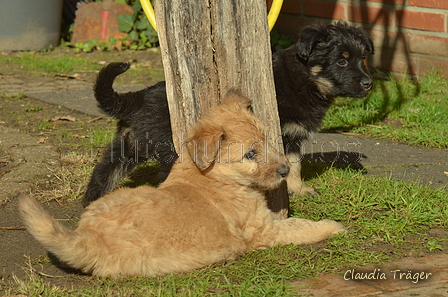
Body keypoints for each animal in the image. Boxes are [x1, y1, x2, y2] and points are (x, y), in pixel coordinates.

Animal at [18, 91, 346, 278]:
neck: (211, 175)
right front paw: (333, 226)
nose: (284, 169)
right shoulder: (263, 229)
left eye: (267, 140)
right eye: (250, 154)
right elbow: (299, 227)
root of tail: (89, 238)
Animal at [82, 20, 372, 206]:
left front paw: (299, 190)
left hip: (127, 146)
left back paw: (90, 204)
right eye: (341, 61)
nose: (369, 83)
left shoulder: (292, 138)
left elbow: (295, 166)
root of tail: (137, 98)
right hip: (171, 148)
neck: (304, 79)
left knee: (103, 173)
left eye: (363, 59)